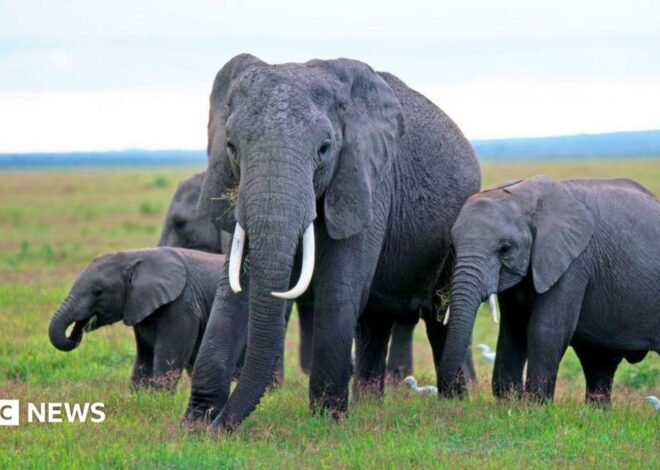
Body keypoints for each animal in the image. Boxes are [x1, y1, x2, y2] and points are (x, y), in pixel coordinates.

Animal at [48, 247, 222, 391]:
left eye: (97, 292)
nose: (75, 332)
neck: (133, 256)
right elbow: (144, 359)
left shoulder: (182, 305)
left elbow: (168, 359)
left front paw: (160, 402)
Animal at [184, 53, 480, 431]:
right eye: (232, 148)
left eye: (324, 149)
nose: (218, 423)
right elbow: (233, 289)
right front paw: (195, 423)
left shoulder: (367, 180)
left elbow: (338, 287)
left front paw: (327, 420)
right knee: (375, 322)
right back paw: (371, 404)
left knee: (439, 316)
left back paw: (453, 403)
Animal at [438, 176, 660, 404]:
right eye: (452, 247)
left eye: (505, 248)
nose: (452, 396)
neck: (522, 197)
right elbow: (513, 330)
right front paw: (510, 401)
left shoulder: (572, 263)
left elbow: (545, 329)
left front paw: (535, 405)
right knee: (599, 361)